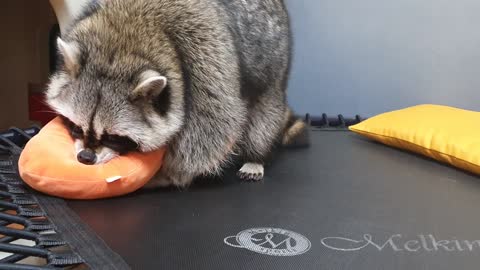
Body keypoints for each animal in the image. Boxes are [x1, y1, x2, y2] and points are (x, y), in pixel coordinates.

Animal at [46, 0, 308, 188]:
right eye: (76, 127)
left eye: (113, 137)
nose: (86, 157)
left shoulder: (206, 53)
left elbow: (213, 129)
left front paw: (171, 174)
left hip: (274, 60)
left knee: (264, 111)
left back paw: (256, 156)